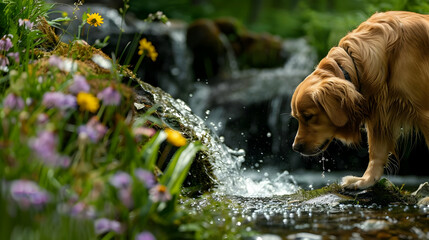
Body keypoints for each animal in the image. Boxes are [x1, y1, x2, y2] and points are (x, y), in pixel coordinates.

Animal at [290, 11, 428, 202]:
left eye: (308, 116)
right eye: (296, 118)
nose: (295, 148)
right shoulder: (380, 114)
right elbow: (376, 153)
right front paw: (364, 181)